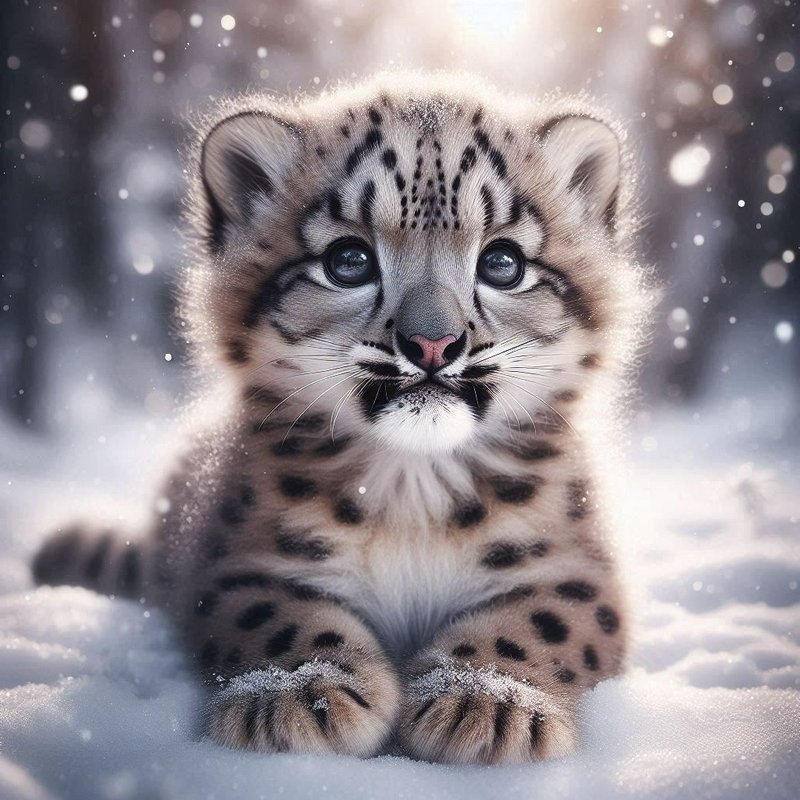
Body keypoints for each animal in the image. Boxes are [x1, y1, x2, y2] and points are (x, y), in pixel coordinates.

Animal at [32, 72, 649, 765]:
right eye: (349, 260)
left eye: (502, 262)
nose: (433, 343)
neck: (414, 492)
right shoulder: (240, 563)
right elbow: (275, 615)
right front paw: (302, 693)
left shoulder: (575, 569)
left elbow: (542, 621)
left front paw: (487, 698)